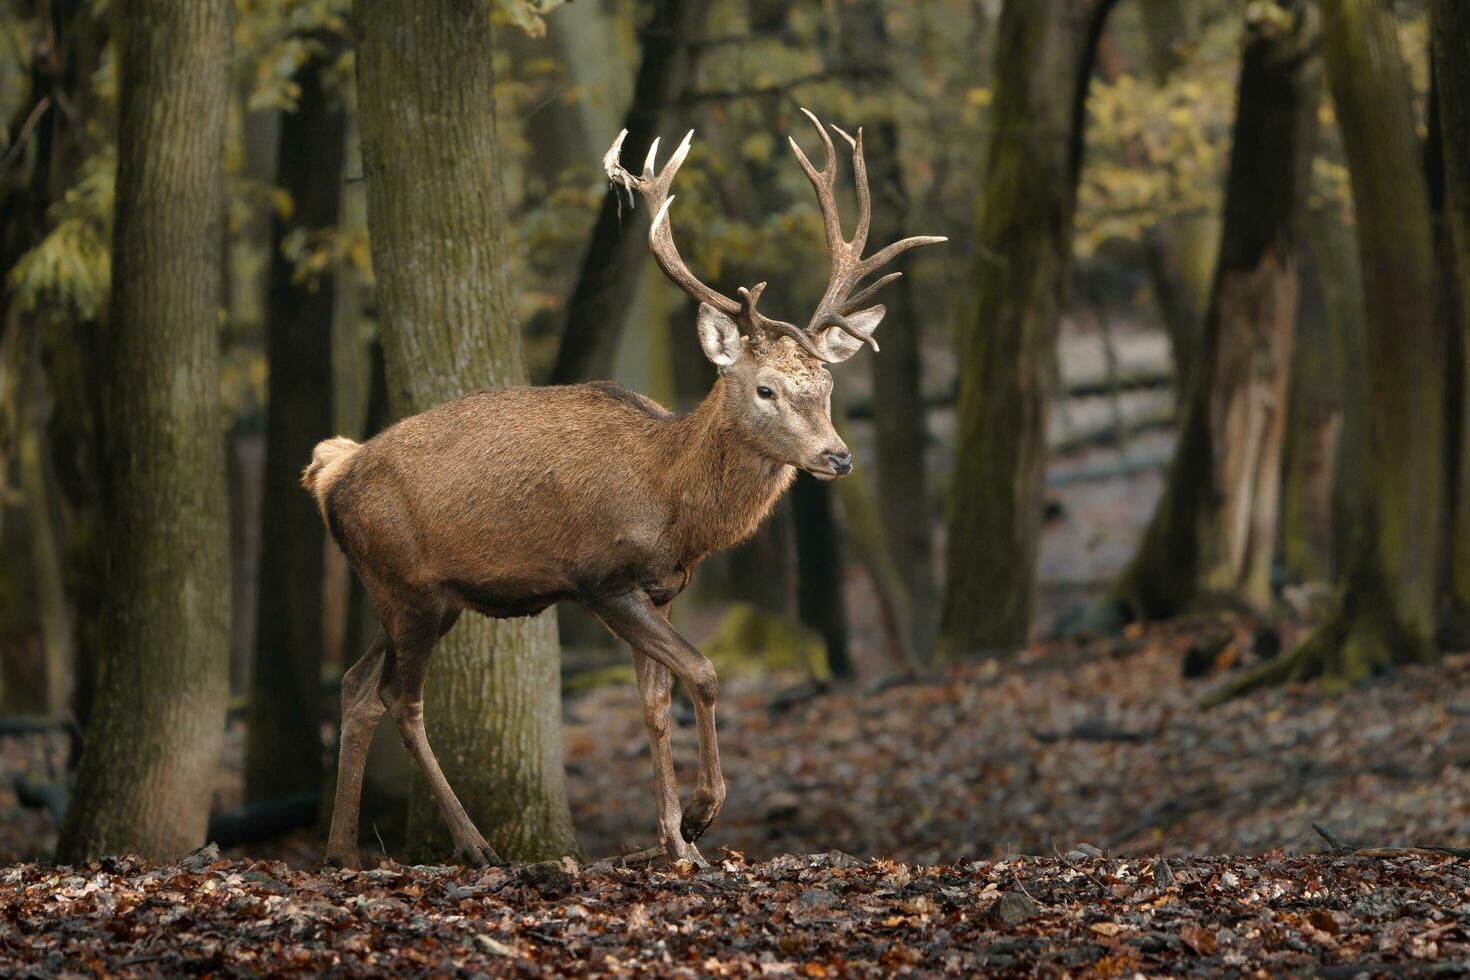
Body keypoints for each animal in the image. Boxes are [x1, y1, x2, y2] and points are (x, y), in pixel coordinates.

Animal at [305, 107, 946, 863]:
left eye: (826, 386)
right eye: (765, 388)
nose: (838, 457)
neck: (671, 504)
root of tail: (332, 472)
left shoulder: (661, 589)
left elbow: (654, 703)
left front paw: (675, 842)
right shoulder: (600, 577)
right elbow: (704, 672)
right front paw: (699, 817)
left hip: (426, 594)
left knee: (356, 688)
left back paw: (342, 851)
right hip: (403, 584)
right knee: (403, 705)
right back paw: (474, 845)